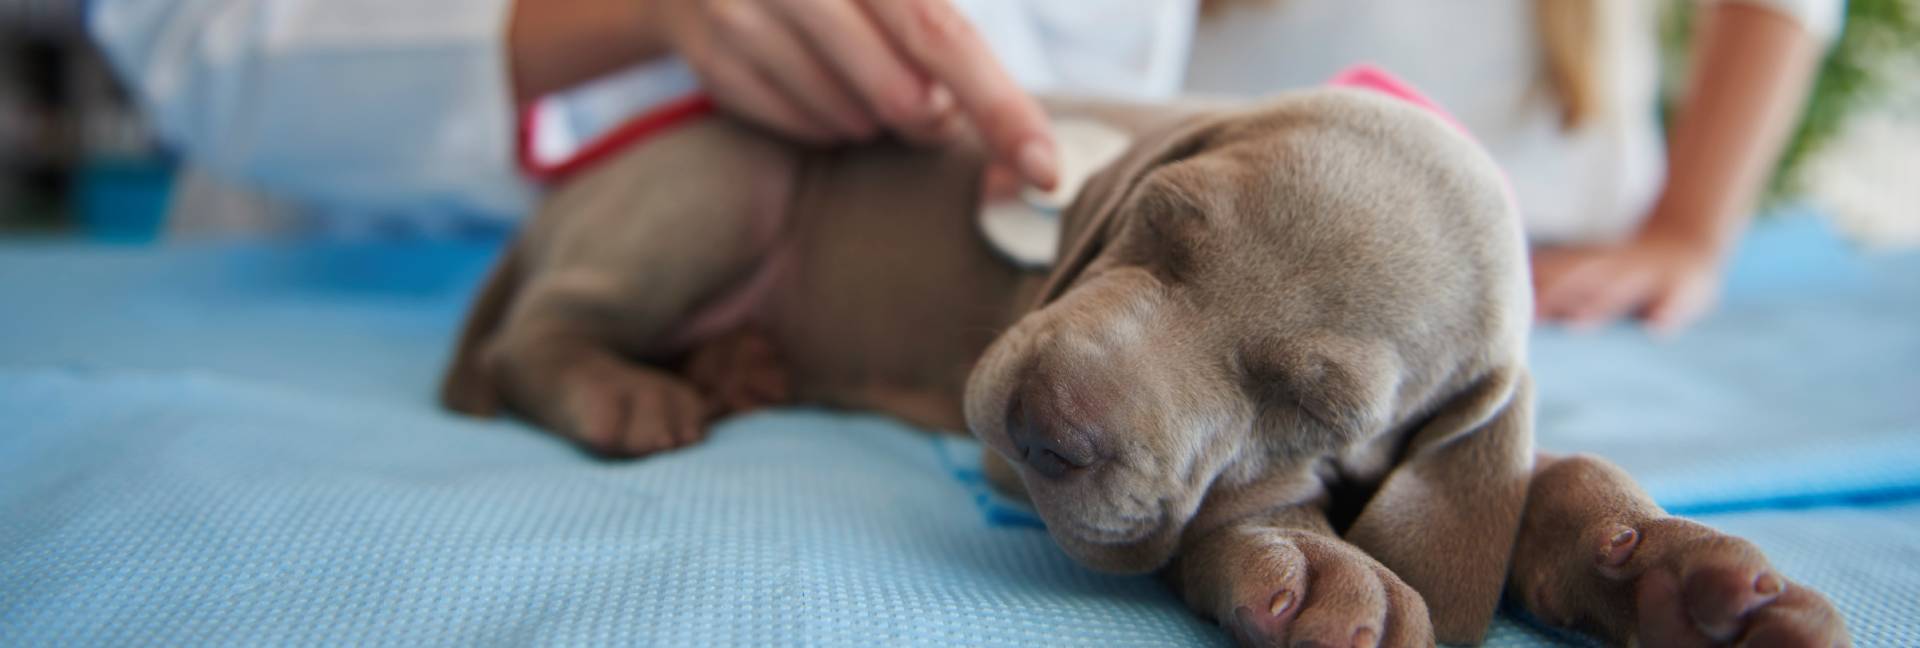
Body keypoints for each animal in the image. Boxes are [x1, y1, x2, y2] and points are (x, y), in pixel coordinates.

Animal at [439, 87, 1848, 646]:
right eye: (1159, 226)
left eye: (1317, 404)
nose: (1042, 428)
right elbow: (1235, 519)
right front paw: (1312, 563)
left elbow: (1527, 479)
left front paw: (1675, 576)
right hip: (724, 180)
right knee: (539, 331)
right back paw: (632, 390)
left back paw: (738, 366)